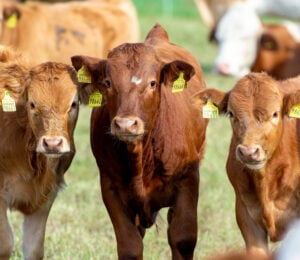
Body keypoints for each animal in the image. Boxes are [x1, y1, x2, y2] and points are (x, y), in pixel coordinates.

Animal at [0, 45, 85, 258]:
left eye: (73, 103)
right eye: (32, 104)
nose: (52, 143)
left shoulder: (46, 197)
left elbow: (35, 248)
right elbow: (5, 244)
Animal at [71, 23, 209, 258]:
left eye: (152, 83)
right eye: (108, 82)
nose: (126, 124)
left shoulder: (189, 180)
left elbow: (182, 239)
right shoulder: (111, 188)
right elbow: (130, 246)